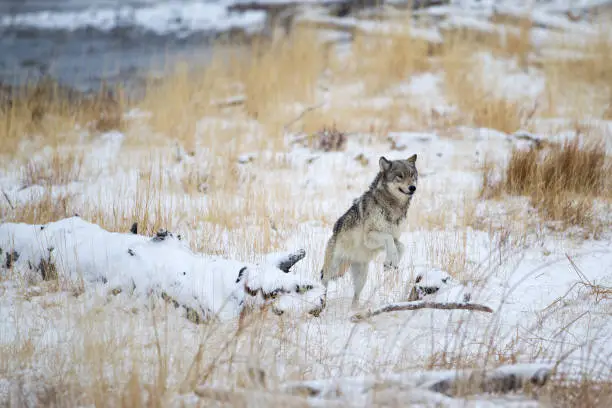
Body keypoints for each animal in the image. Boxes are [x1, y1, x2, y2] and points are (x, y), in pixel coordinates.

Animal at [316, 154, 416, 312]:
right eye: (400, 176)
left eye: (412, 175)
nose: (412, 187)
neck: (392, 207)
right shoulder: (370, 238)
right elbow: (389, 239)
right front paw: (391, 260)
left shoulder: (394, 238)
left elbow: (401, 246)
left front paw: (390, 263)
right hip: (333, 269)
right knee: (323, 282)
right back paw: (322, 303)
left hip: (361, 277)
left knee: (355, 296)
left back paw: (355, 310)